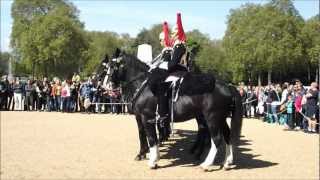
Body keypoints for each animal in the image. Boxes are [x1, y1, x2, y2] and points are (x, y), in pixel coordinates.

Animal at [109, 50, 241, 170]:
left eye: (113, 66)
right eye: (107, 66)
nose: (109, 86)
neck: (143, 85)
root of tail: (227, 86)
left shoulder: (146, 117)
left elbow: (151, 138)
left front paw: (152, 161)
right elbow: (151, 137)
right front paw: (153, 156)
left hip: (212, 118)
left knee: (216, 138)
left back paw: (206, 164)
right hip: (220, 118)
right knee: (226, 136)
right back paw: (226, 162)